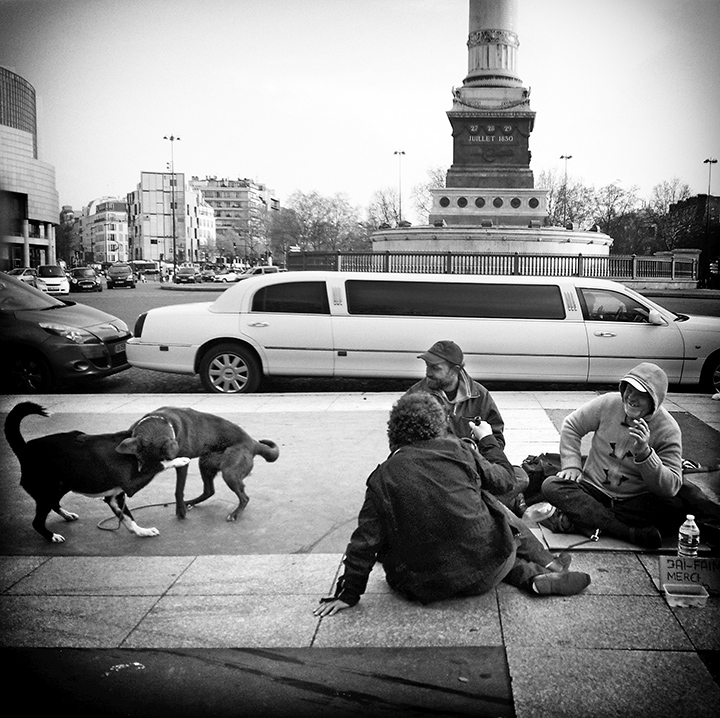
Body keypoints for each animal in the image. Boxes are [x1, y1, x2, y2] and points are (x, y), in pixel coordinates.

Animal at [4, 402, 188, 544]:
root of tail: (24, 449)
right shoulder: (131, 485)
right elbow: (161, 465)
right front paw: (181, 460)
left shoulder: (115, 497)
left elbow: (128, 519)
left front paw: (142, 532)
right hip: (48, 491)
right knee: (37, 522)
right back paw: (52, 536)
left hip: (61, 486)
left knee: (55, 504)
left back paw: (67, 515)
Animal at [116, 410, 280, 524]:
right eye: (139, 460)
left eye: (161, 462)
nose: (142, 476)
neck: (160, 421)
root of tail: (253, 443)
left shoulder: (183, 464)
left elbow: (178, 489)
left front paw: (180, 510)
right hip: (205, 464)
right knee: (209, 491)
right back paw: (190, 502)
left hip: (229, 473)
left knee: (244, 497)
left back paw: (235, 514)